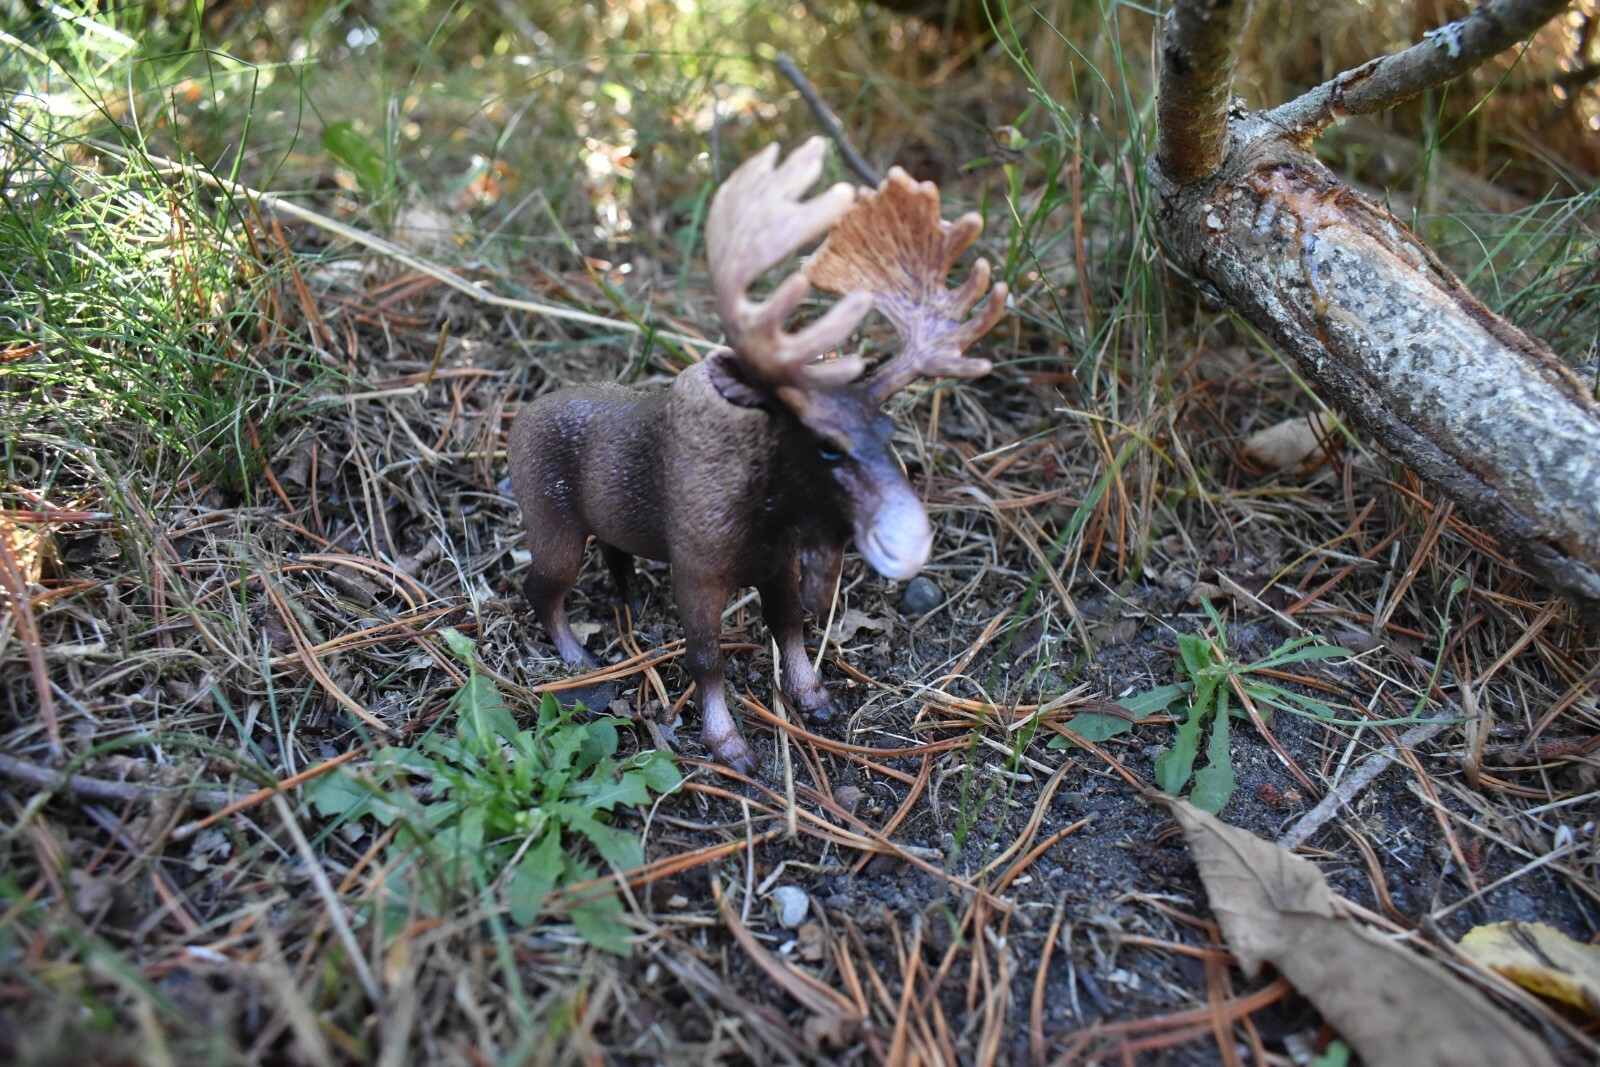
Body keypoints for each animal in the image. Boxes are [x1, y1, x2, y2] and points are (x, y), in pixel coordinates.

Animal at [507, 137, 1007, 775]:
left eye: (889, 428)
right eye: (825, 446)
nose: (912, 540)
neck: (766, 512)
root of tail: (517, 421)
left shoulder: (779, 562)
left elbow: (789, 626)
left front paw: (813, 698)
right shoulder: (698, 573)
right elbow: (706, 658)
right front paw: (727, 743)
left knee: (614, 554)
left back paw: (631, 602)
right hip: (554, 530)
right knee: (540, 592)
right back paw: (577, 658)